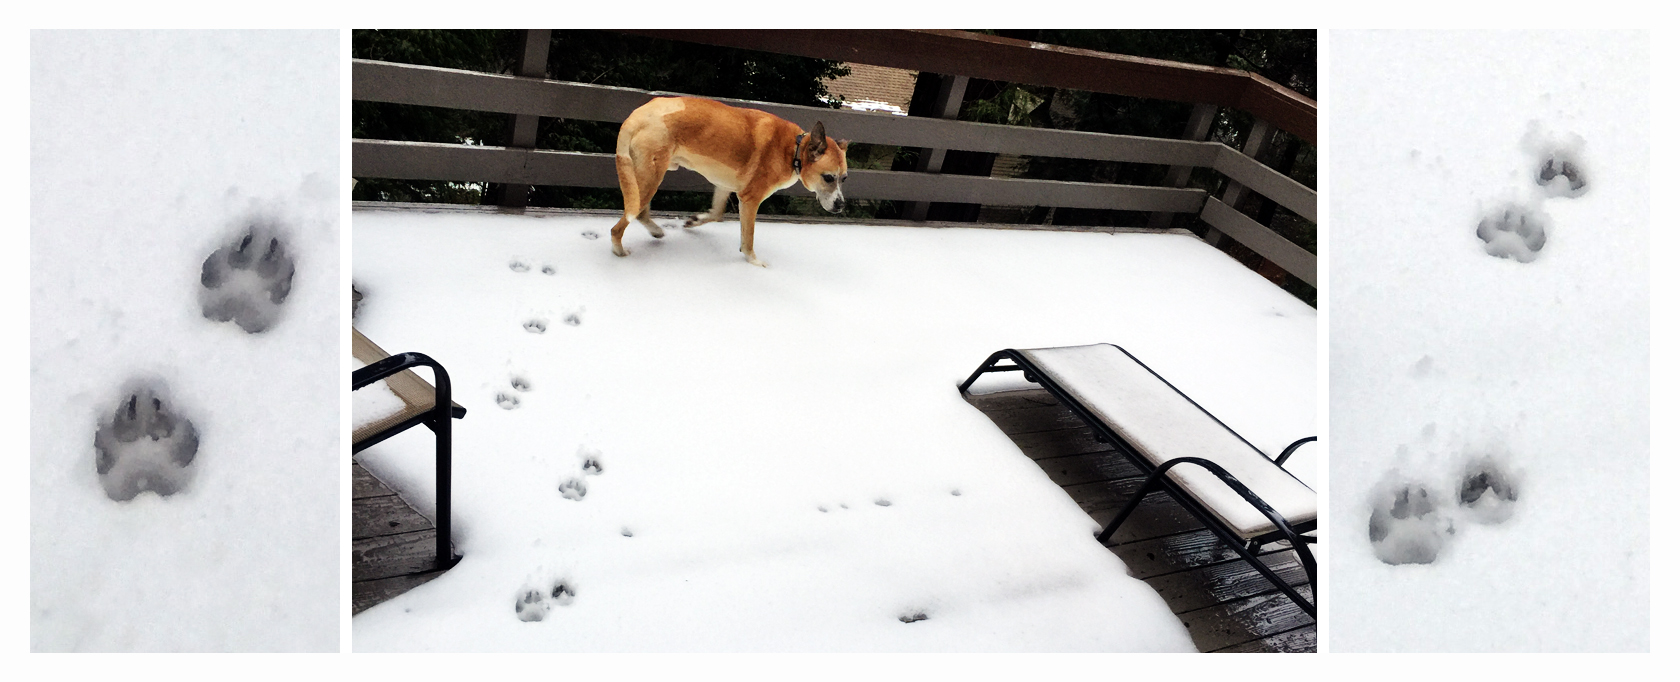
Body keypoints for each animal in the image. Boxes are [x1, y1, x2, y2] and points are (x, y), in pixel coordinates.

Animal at [608, 95, 853, 267]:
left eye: (844, 178)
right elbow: (748, 238)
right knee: (621, 224)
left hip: (650, 175)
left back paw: (655, 231)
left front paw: (695, 221)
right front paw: (754, 261)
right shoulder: (750, 200)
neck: (794, 150)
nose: (841, 205)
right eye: (828, 178)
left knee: (640, 212)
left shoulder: (724, 185)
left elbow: (717, 214)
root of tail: (636, 115)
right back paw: (619, 250)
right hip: (650, 178)